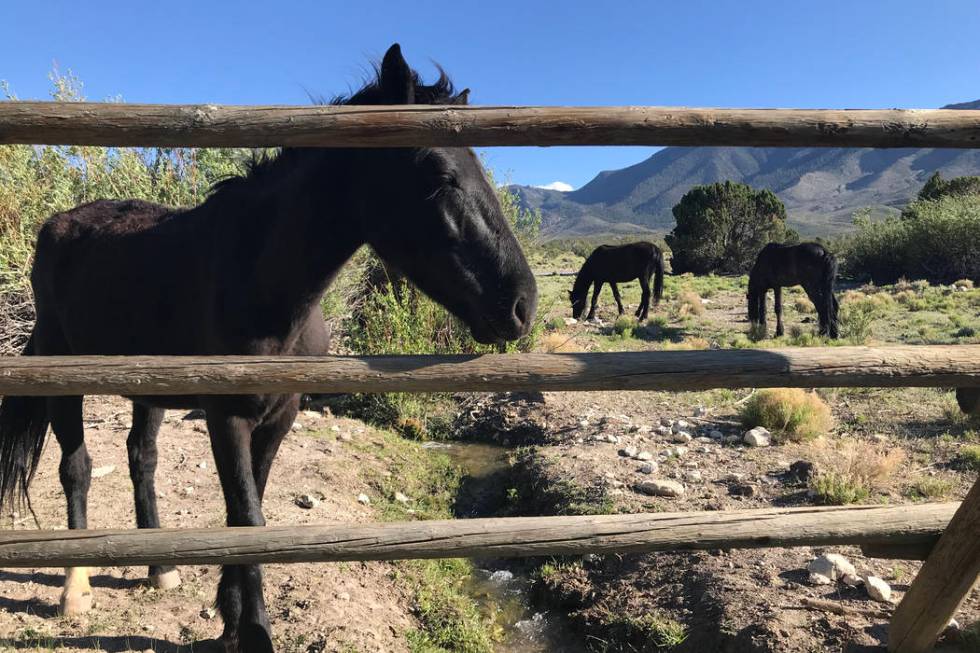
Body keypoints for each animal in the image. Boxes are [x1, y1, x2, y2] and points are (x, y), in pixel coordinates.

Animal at [0, 43, 536, 648]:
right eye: (441, 176)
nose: (522, 304)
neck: (259, 280)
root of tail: (59, 225)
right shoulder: (226, 417)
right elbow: (246, 517)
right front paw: (250, 630)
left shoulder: (281, 416)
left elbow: (250, 511)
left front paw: (232, 616)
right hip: (60, 373)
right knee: (77, 467)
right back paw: (75, 589)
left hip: (146, 388)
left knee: (142, 458)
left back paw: (161, 568)